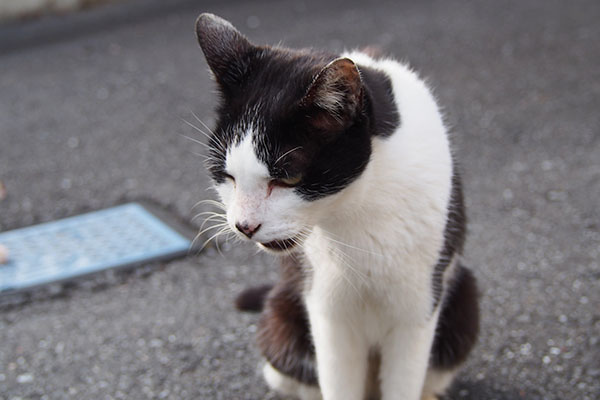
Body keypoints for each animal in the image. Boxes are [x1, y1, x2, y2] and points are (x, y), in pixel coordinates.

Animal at [195, 12, 480, 400]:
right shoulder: (326, 308)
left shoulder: (418, 304)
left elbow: (405, 379)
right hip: (281, 320)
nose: (243, 225)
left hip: (463, 302)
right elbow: (337, 378)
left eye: (287, 178)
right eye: (226, 175)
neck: (356, 209)